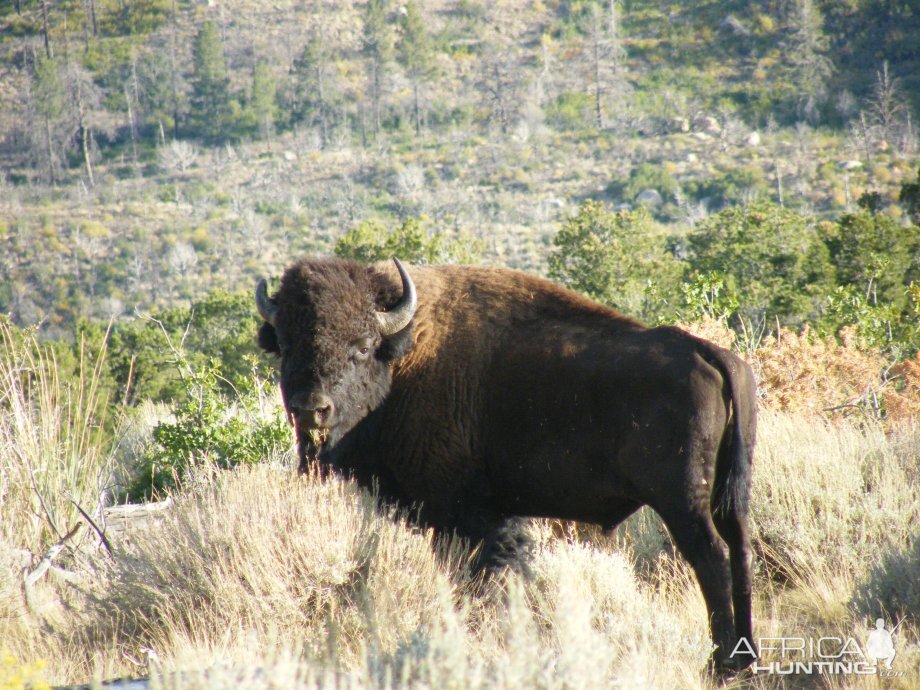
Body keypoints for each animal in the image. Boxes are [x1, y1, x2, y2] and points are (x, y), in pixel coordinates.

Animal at [256, 255, 756, 668]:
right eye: (286, 345)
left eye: (361, 345)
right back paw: (746, 655)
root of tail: (708, 351)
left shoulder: (463, 514)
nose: (311, 409)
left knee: (710, 556)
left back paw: (722, 664)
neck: (404, 356)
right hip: (728, 497)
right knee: (740, 550)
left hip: (681, 500)